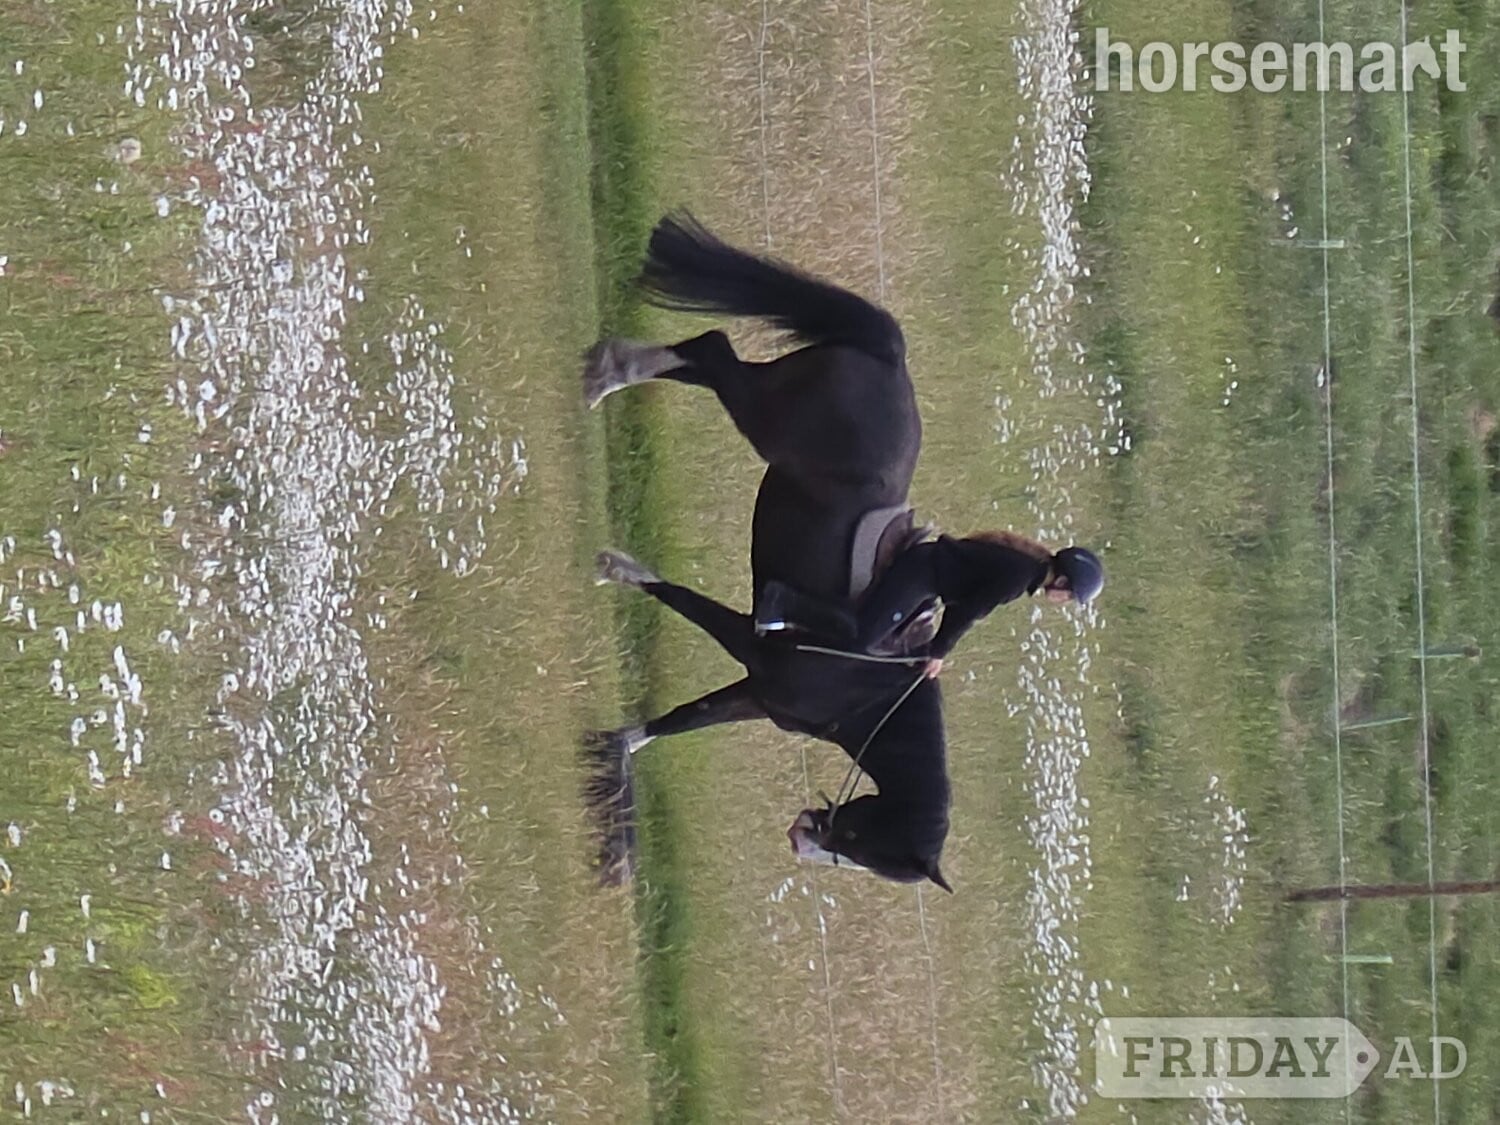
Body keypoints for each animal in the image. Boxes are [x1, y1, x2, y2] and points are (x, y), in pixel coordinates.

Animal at [582, 211, 952, 892]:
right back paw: (605, 373)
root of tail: (891, 355)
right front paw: (615, 567)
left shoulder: (757, 694)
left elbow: (680, 720)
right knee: (712, 350)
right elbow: (680, 601)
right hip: (765, 417)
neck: (864, 689)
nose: (802, 840)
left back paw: (609, 369)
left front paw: (616, 750)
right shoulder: (752, 645)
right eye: (867, 845)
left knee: (707, 358)